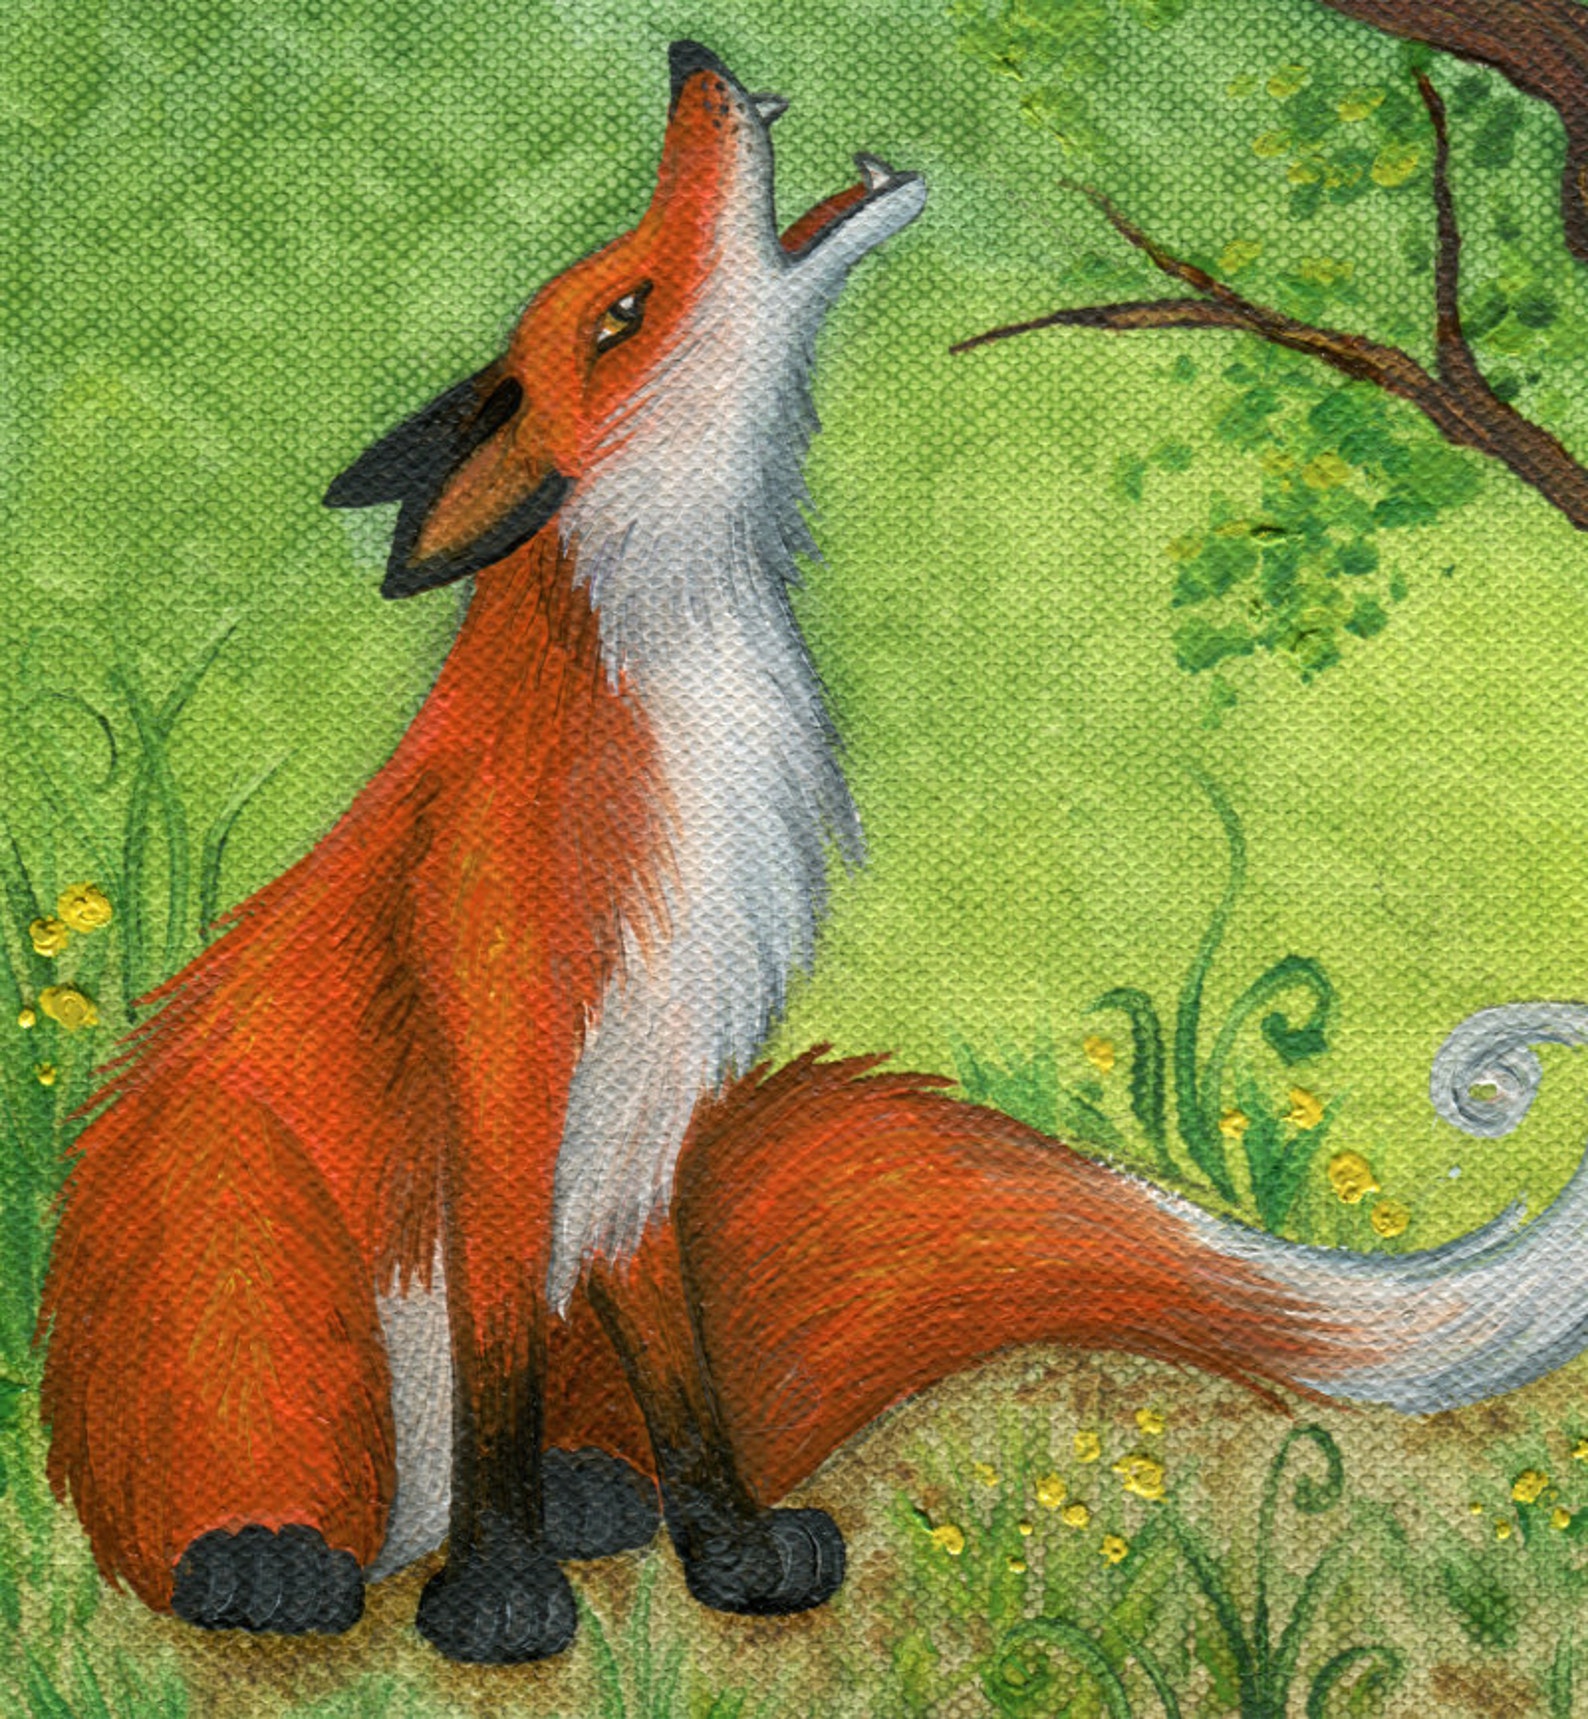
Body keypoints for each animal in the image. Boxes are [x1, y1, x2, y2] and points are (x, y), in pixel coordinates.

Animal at [36, 39, 1588, 1669]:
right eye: (623, 309)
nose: (691, 61)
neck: (697, 704)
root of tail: (388, 1519)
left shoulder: (647, 1124)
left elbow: (686, 1387)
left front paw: (727, 1547)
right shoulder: (509, 1078)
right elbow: (493, 1364)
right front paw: (501, 1597)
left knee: (584, 1433)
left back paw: (594, 1494)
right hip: (241, 1243)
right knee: (241, 1486)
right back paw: (271, 1557)